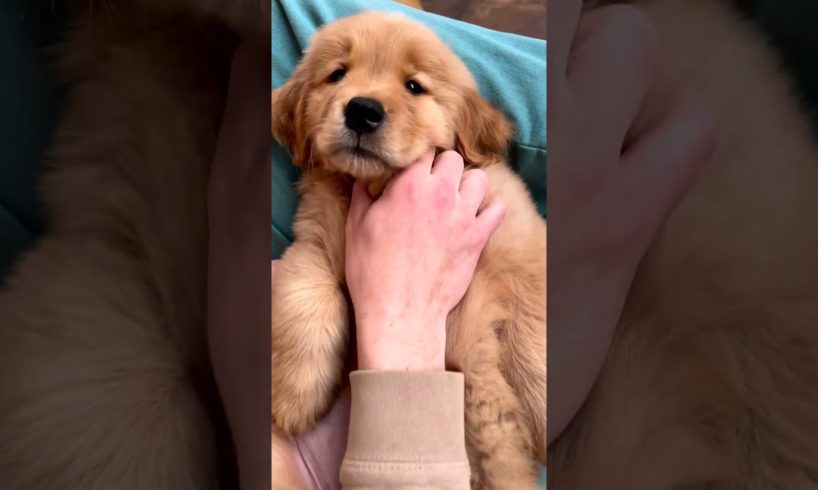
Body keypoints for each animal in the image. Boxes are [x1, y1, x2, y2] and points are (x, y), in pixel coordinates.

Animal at [270, 11, 544, 490]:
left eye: (414, 85)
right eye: (337, 74)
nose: (362, 110)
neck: (374, 184)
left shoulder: (515, 237)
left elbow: (529, 319)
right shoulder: (314, 239)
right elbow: (305, 291)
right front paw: (292, 395)